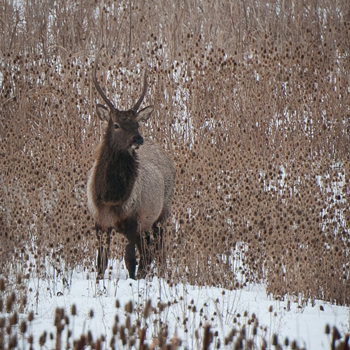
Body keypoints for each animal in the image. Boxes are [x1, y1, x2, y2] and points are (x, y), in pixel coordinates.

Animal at [86, 53, 176, 280]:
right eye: (116, 125)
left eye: (137, 123)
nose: (138, 139)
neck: (111, 198)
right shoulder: (100, 223)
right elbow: (101, 263)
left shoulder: (132, 220)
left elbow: (129, 262)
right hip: (145, 225)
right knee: (148, 253)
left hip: (162, 213)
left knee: (159, 251)